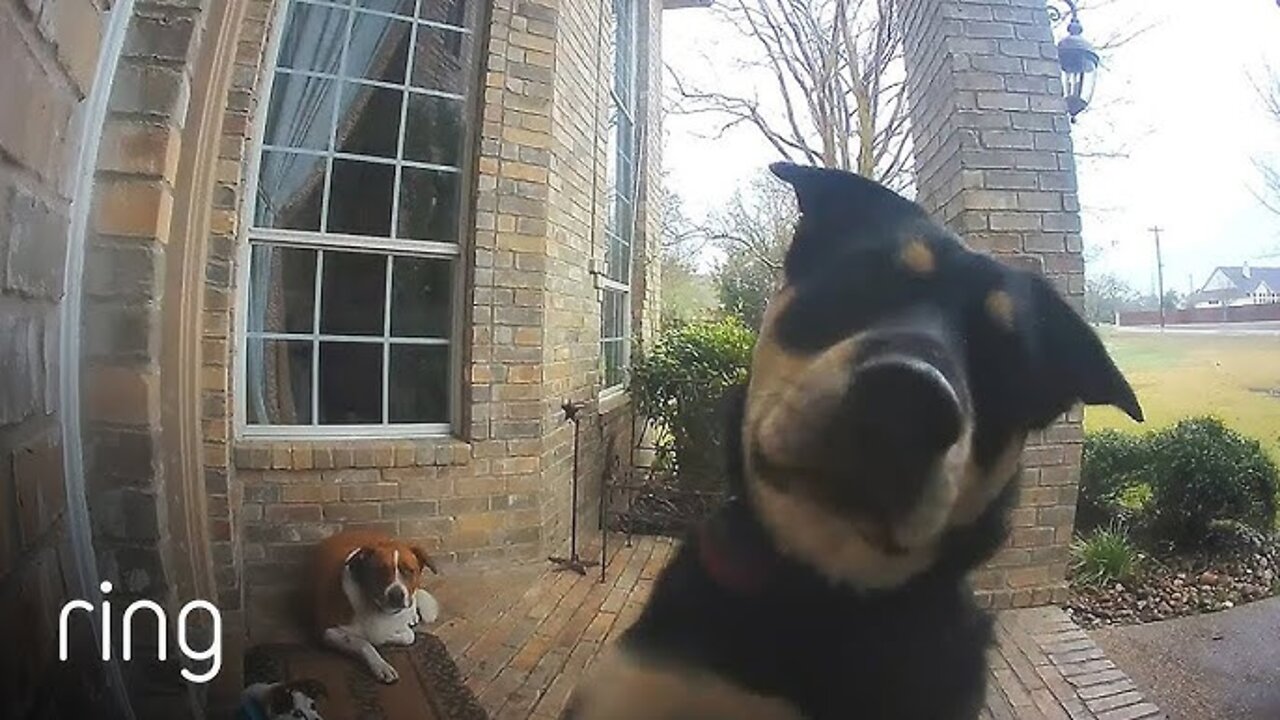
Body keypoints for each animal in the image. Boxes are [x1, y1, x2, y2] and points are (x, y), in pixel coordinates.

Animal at [312, 530, 442, 681]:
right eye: (381, 571)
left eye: (409, 571)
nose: (396, 595)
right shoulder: (328, 633)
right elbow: (364, 643)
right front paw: (381, 665)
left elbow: (410, 636)